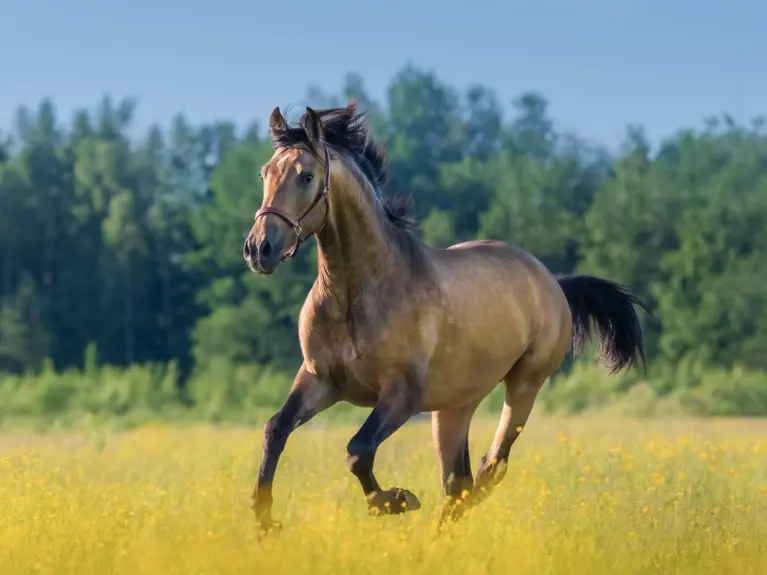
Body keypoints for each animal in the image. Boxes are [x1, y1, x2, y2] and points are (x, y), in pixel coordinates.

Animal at [243, 101, 648, 532]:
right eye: (265, 173)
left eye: (306, 176)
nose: (258, 249)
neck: (354, 294)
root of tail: (552, 281)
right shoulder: (319, 380)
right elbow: (275, 430)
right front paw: (265, 521)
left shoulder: (401, 395)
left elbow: (358, 449)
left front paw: (396, 500)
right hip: (455, 406)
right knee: (458, 482)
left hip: (524, 385)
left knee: (490, 468)